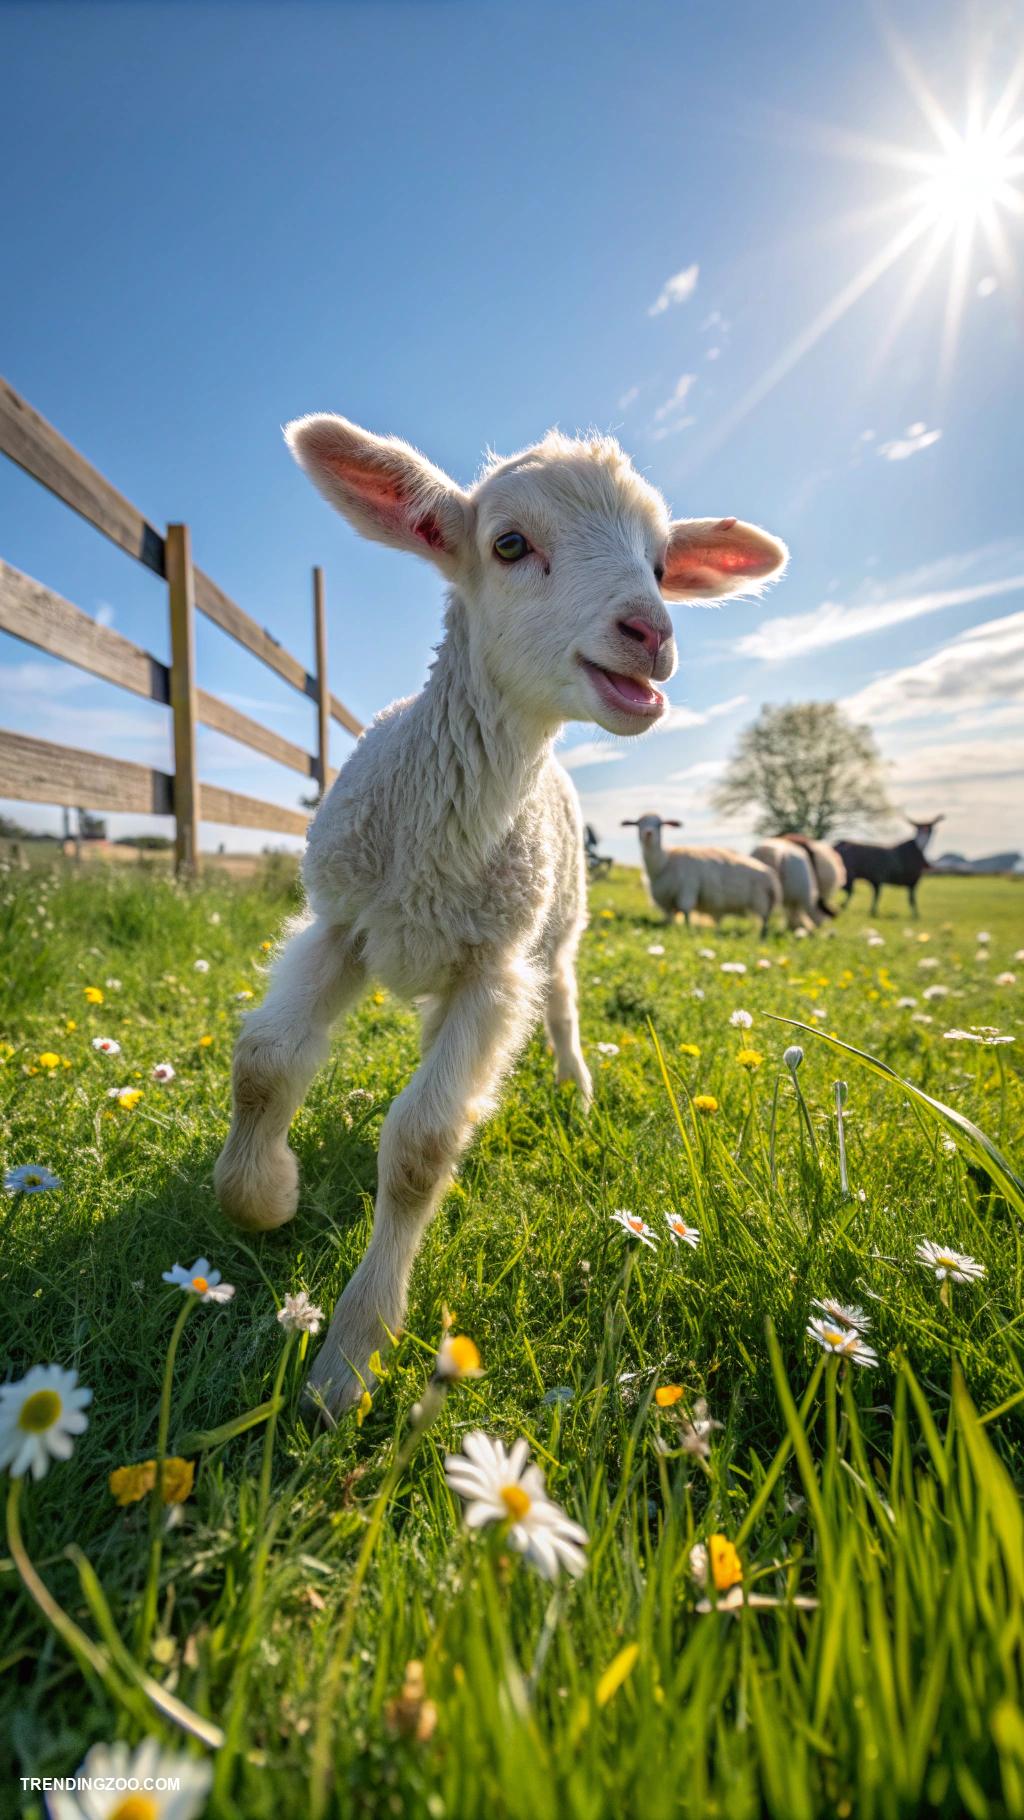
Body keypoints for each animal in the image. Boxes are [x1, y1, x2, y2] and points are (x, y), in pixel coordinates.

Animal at [623, 815, 781, 935]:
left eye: (659, 824)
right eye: (638, 824)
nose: (648, 833)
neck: (664, 862)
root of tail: (770, 873)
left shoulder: (687, 889)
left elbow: (686, 912)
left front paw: (687, 931)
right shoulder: (666, 900)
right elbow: (670, 918)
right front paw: (670, 929)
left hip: (761, 901)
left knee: (764, 921)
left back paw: (761, 937)